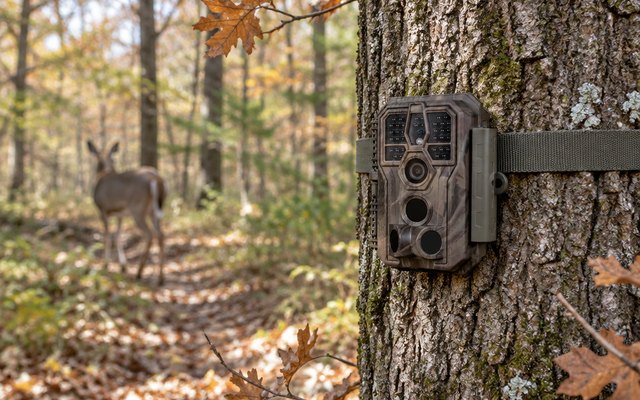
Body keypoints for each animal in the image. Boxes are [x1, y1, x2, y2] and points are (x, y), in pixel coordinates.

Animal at [87, 141, 166, 285]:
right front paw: (123, 266)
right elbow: (118, 236)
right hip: (153, 211)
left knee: (149, 235)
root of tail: (156, 179)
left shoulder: (103, 210)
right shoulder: (121, 215)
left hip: (138, 209)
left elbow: (107, 237)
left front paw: (105, 264)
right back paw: (160, 278)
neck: (104, 174)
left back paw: (139, 273)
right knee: (161, 235)